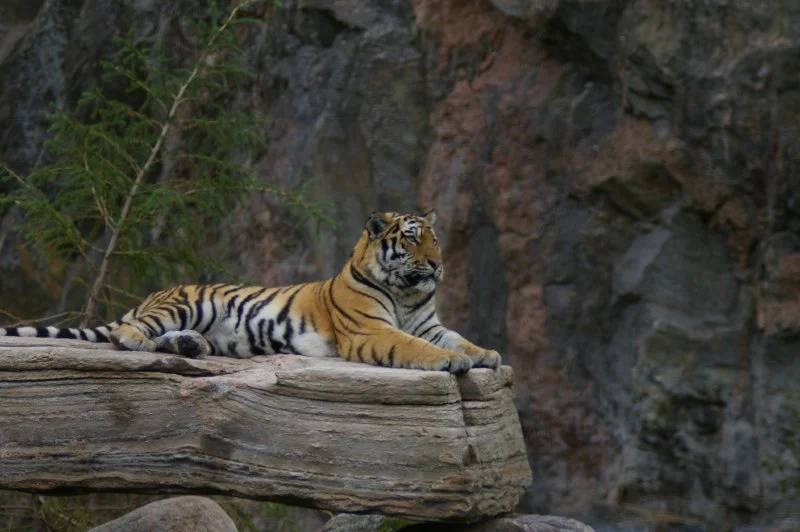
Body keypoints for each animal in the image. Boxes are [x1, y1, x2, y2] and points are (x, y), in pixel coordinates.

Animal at [0, 211, 501, 373]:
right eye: (413, 239)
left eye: (436, 239)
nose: (438, 264)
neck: (406, 292)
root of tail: (151, 296)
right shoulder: (371, 331)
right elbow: (414, 346)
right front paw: (451, 362)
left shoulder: (430, 324)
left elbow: (457, 338)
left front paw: (487, 354)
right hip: (188, 304)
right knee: (127, 332)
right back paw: (150, 341)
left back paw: (192, 347)